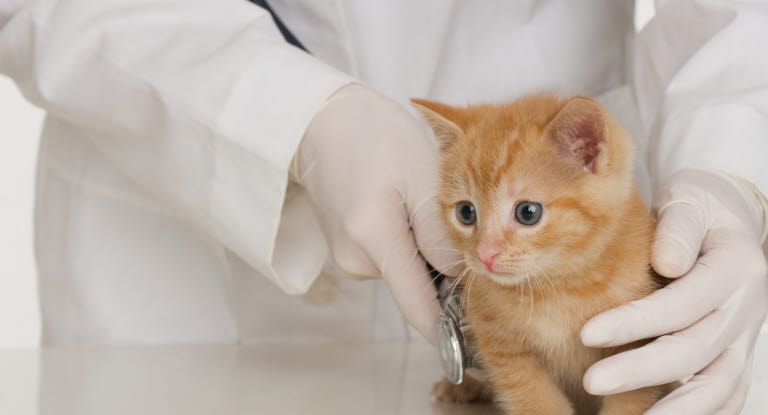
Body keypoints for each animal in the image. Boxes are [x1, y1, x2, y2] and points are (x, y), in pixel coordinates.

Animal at [414, 95, 672, 415]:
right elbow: (533, 398)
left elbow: (631, 394)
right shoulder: (505, 349)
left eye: (528, 212)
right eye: (466, 212)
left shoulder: (631, 345)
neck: (557, 288)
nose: (485, 255)